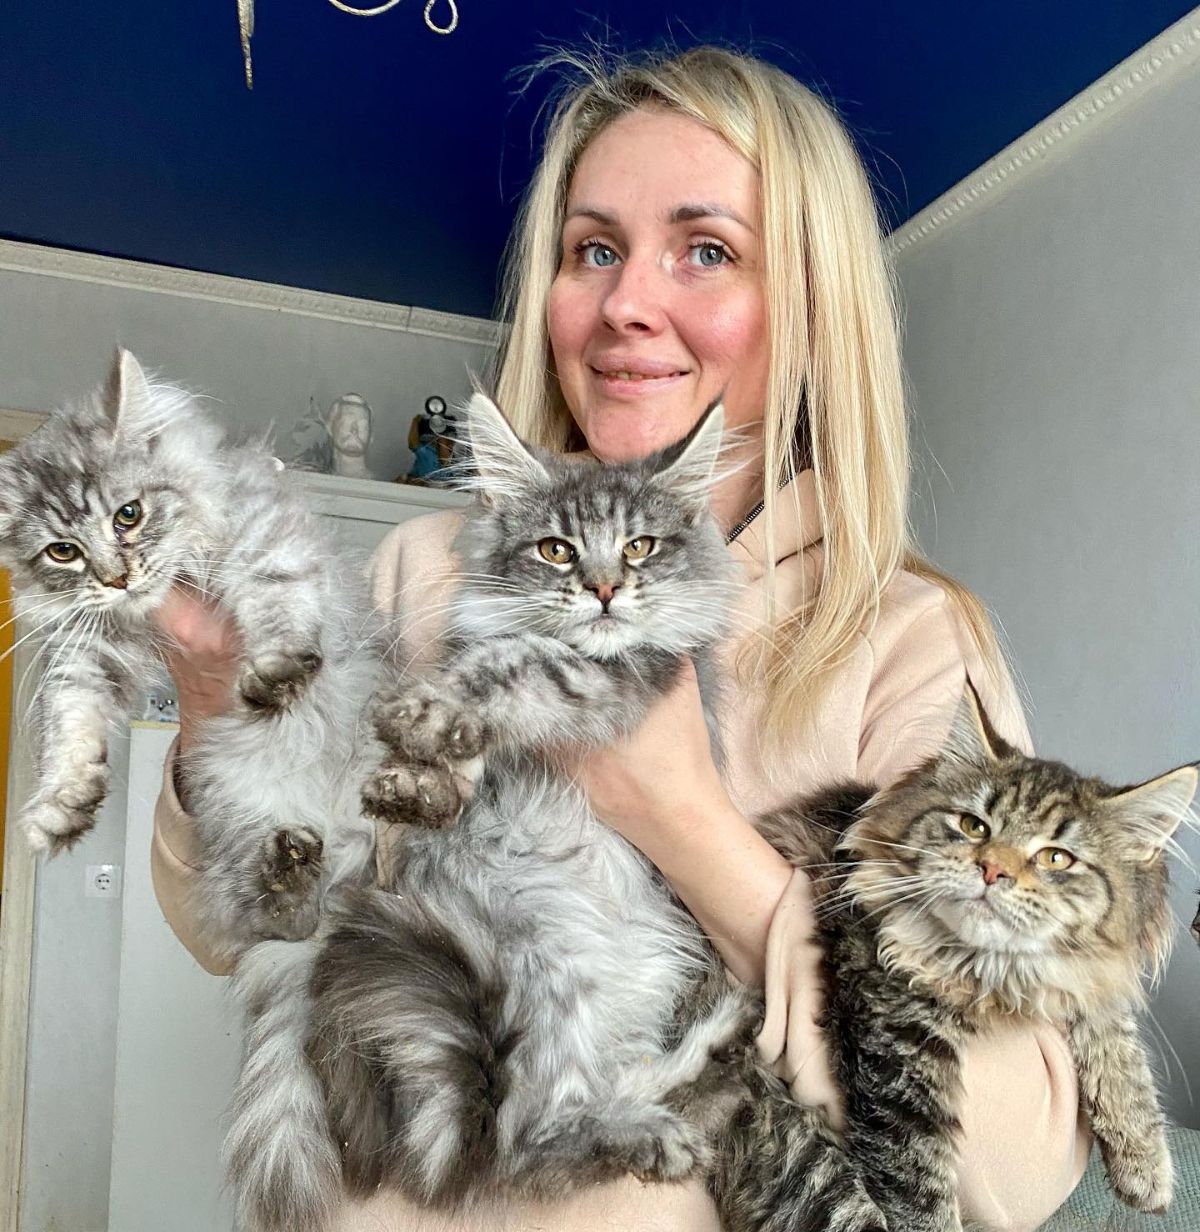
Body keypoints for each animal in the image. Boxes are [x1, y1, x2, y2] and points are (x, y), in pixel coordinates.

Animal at [0, 352, 381, 956]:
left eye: (128, 515)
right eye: (63, 552)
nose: (117, 579)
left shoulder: (264, 533)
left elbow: (279, 598)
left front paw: (276, 672)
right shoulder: (85, 649)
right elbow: (70, 718)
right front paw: (62, 801)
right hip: (235, 808)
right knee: (281, 921)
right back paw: (290, 870)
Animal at [232, 391, 891, 1232]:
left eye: (640, 547)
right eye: (555, 550)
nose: (605, 590)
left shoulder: (623, 677)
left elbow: (519, 668)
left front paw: (427, 712)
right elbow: (468, 744)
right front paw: (419, 780)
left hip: (572, 977)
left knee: (531, 1139)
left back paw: (687, 1088)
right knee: (543, 1122)